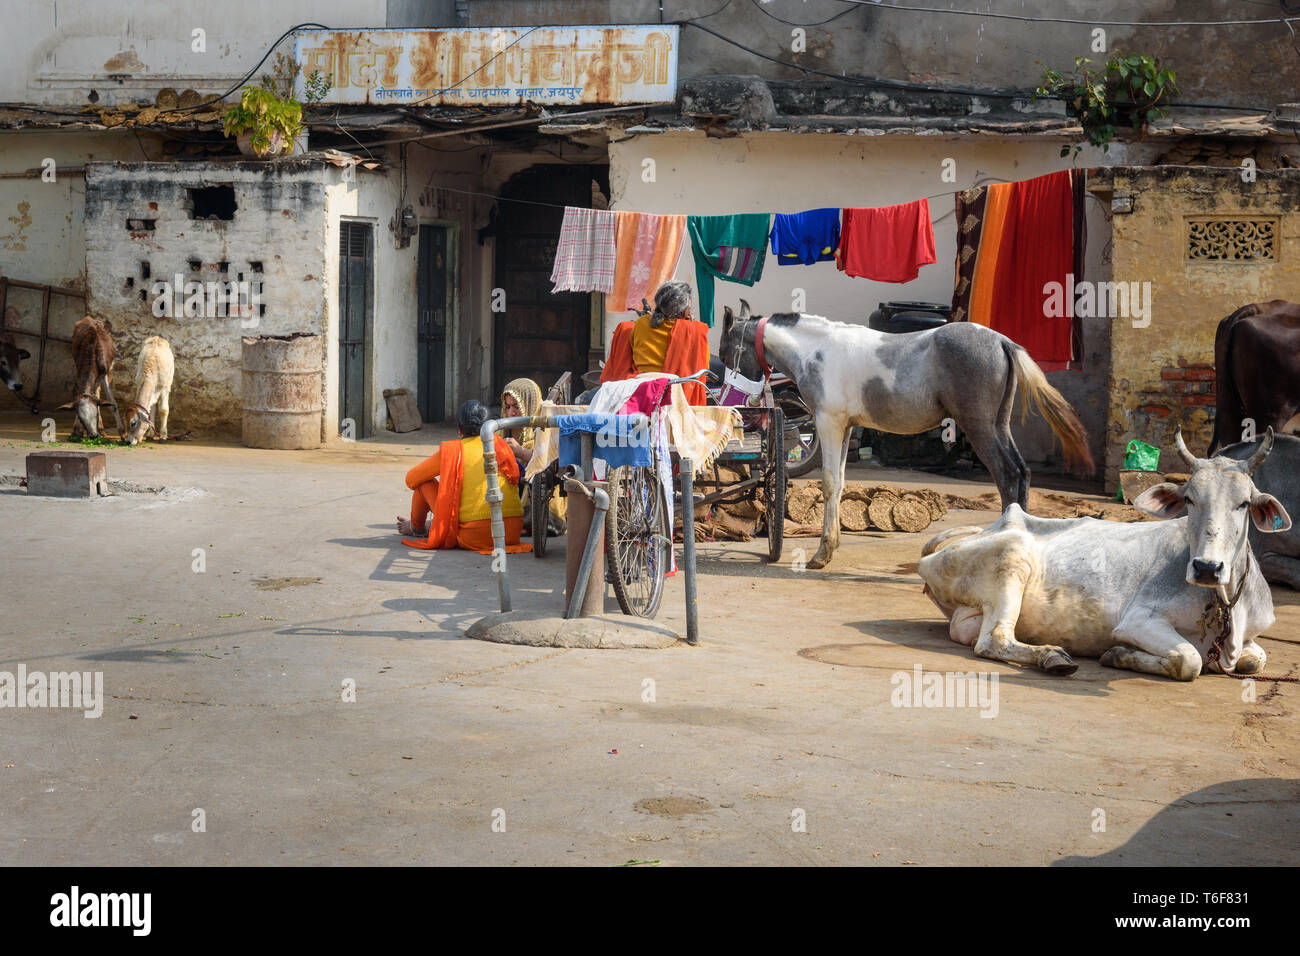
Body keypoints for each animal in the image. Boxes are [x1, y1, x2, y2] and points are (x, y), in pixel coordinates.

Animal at [917, 428, 1291, 681]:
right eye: (1189, 499)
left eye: (1243, 503)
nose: (1207, 568)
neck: (1226, 604)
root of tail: (989, 527)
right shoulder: (1138, 620)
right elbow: (1190, 661)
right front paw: (1118, 655)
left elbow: (1255, 659)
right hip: (1012, 554)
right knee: (993, 640)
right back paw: (1052, 657)